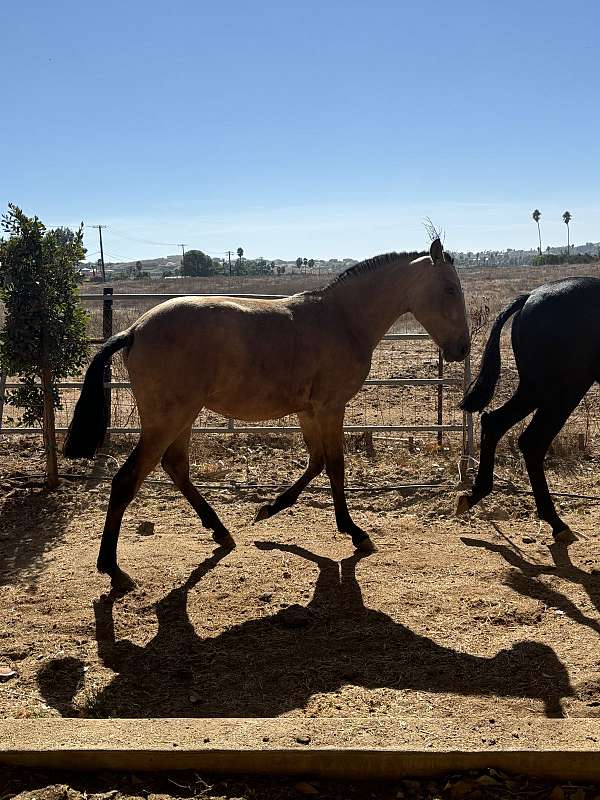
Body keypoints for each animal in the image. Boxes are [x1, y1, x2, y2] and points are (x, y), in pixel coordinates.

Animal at [64, 238, 468, 588]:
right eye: (450, 289)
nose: (462, 348)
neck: (343, 319)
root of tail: (134, 330)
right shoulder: (330, 407)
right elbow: (335, 466)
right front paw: (356, 534)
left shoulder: (309, 411)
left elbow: (317, 462)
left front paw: (269, 509)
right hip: (167, 419)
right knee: (127, 480)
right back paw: (114, 570)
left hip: (184, 416)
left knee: (175, 466)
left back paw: (221, 532)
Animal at [458, 278, 596, 540]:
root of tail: (530, 297)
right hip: (562, 390)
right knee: (532, 441)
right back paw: (555, 522)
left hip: (535, 390)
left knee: (494, 422)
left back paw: (476, 493)